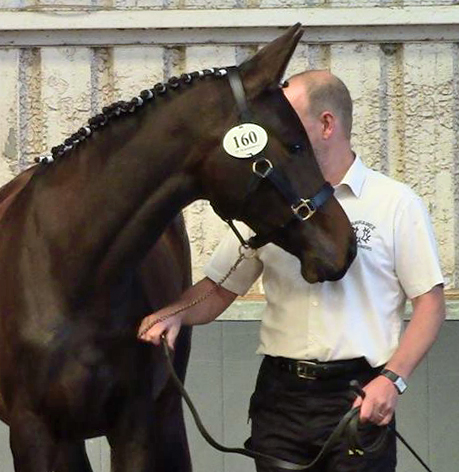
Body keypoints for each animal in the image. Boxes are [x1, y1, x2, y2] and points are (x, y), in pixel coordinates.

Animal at [0, 23, 358, 472]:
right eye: (295, 144)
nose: (346, 246)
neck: (67, 275)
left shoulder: (137, 425)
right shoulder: (34, 434)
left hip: (166, 411)